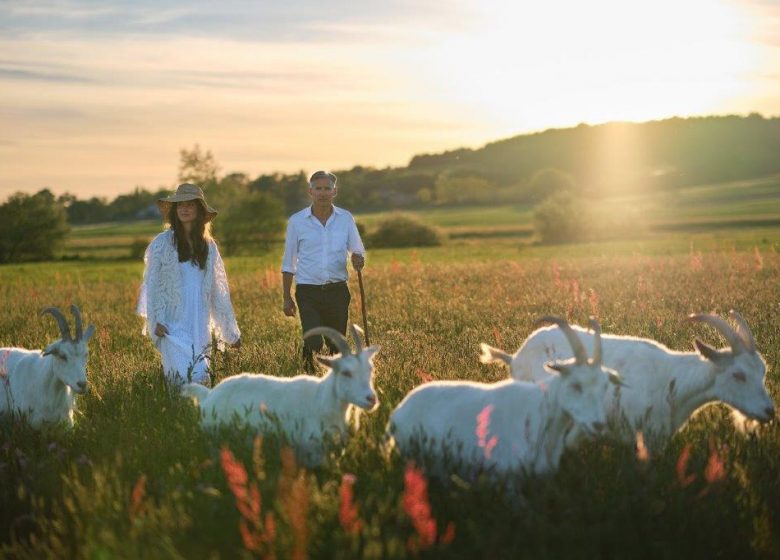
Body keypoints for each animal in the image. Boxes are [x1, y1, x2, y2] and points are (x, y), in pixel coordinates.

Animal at [183, 326, 378, 466]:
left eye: (370, 369)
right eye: (346, 372)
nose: (371, 399)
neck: (321, 399)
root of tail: (208, 394)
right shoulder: (313, 453)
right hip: (215, 439)